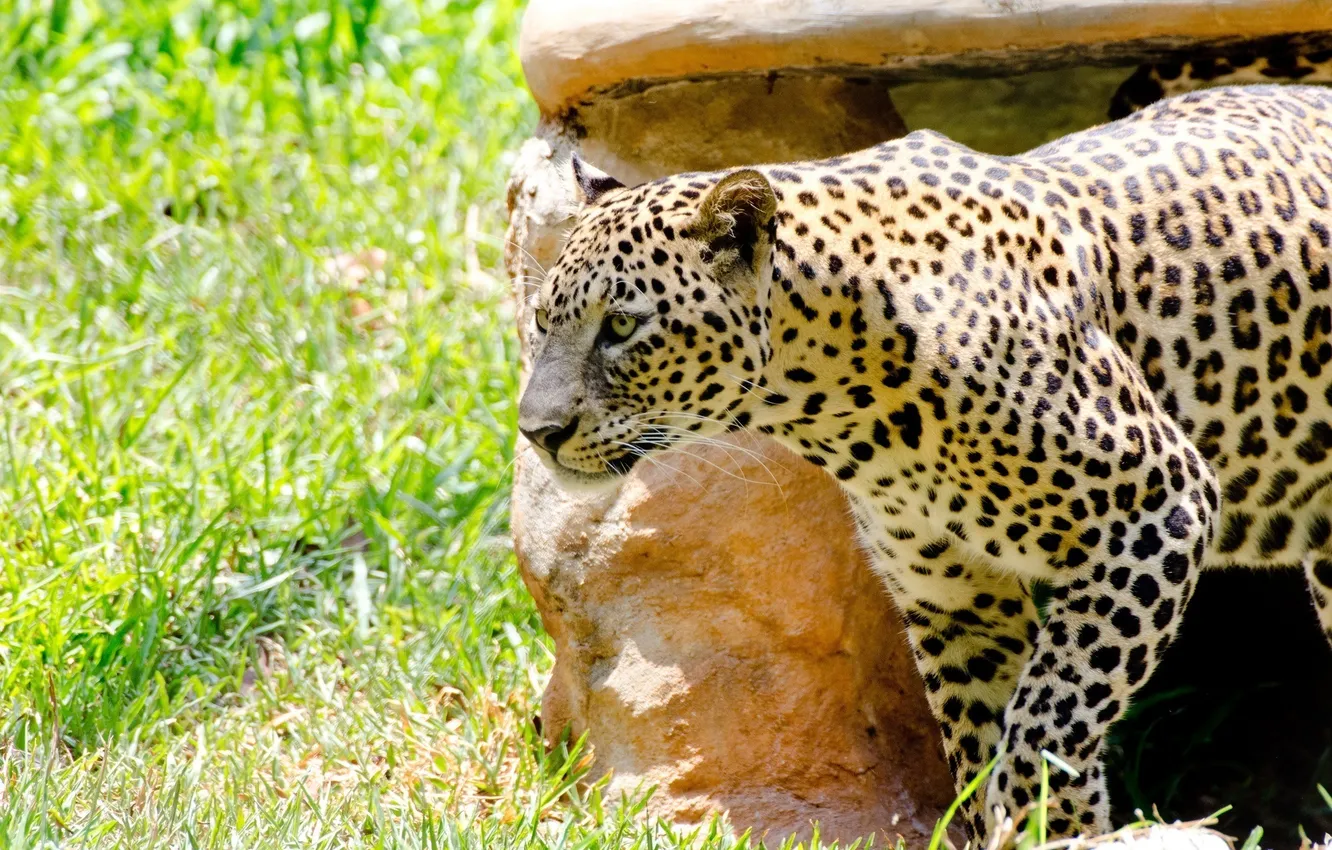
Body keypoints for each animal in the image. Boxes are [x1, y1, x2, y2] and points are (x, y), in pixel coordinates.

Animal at [517, 85, 1332, 840]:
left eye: (623, 326)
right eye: (543, 320)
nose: (537, 431)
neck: (840, 405)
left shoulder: (1157, 506)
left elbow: (1052, 710)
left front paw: (1043, 822)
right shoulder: (956, 597)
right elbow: (983, 738)